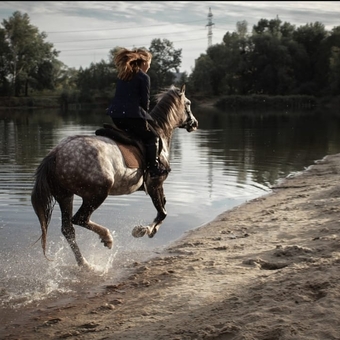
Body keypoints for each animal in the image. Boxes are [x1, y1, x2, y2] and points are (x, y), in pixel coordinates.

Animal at [31, 83, 199, 266]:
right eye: (188, 104)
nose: (194, 123)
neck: (160, 131)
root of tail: (56, 153)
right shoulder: (156, 183)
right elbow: (163, 212)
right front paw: (142, 230)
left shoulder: (155, 185)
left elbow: (163, 208)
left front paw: (151, 230)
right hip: (97, 192)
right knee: (80, 219)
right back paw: (107, 239)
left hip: (65, 195)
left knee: (68, 229)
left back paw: (86, 264)